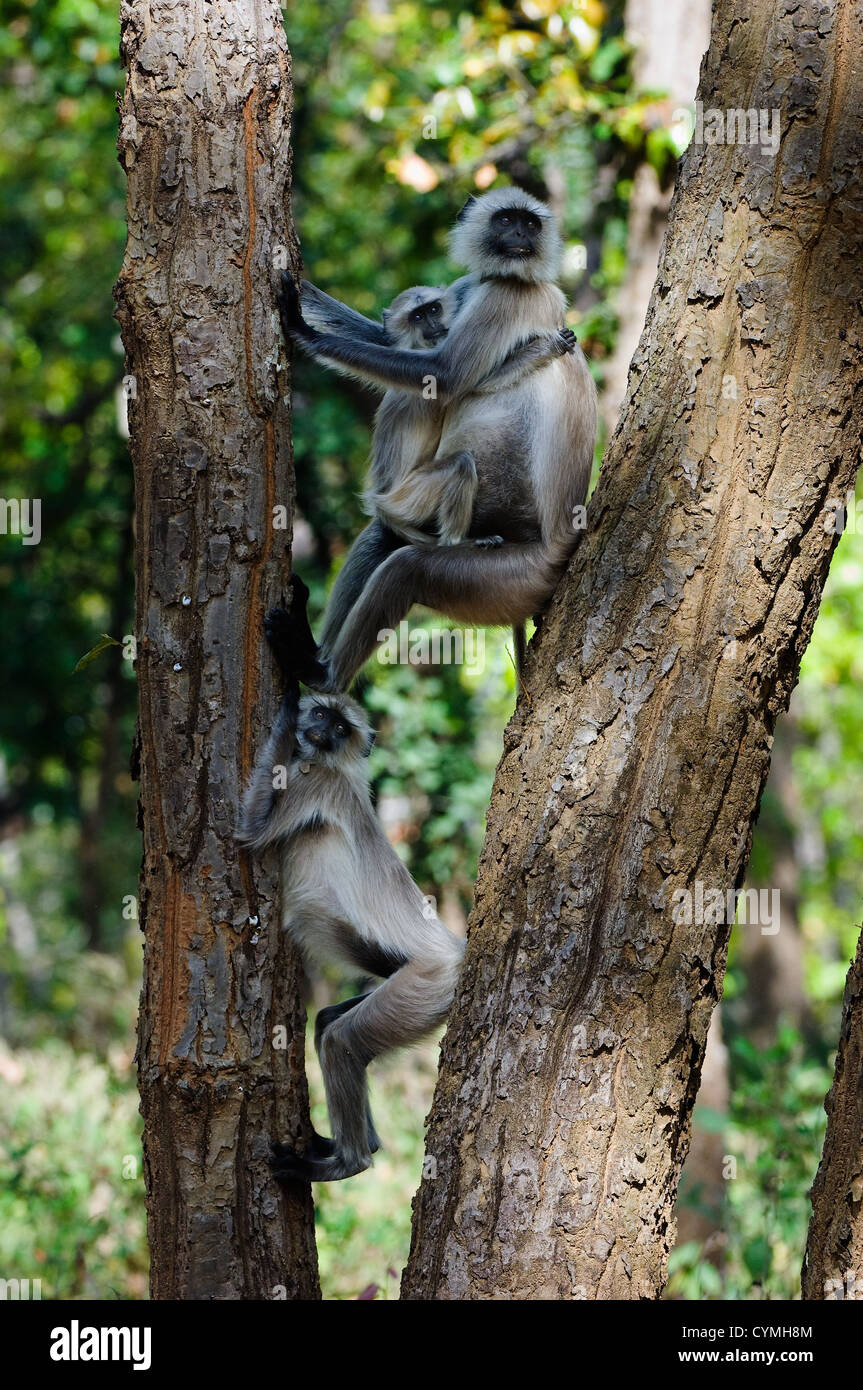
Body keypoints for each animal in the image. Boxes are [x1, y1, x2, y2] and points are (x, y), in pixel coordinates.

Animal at [236, 575, 464, 1184]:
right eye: (325, 720)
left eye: (339, 727)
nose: (317, 731)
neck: (328, 763)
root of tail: (458, 952)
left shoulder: (313, 781)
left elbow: (249, 831)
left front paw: (288, 697)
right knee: (327, 1023)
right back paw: (353, 1144)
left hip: (425, 987)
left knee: (340, 1040)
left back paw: (347, 1162)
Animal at [279, 187, 594, 692]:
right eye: (506, 221)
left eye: (530, 224)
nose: (521, 238)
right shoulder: (468, 291)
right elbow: (392, 338)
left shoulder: (508, 295)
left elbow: (444, 377)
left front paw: (301, 329)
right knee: (383, 536)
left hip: (516, 576)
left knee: (407, 568)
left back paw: (321, 673)